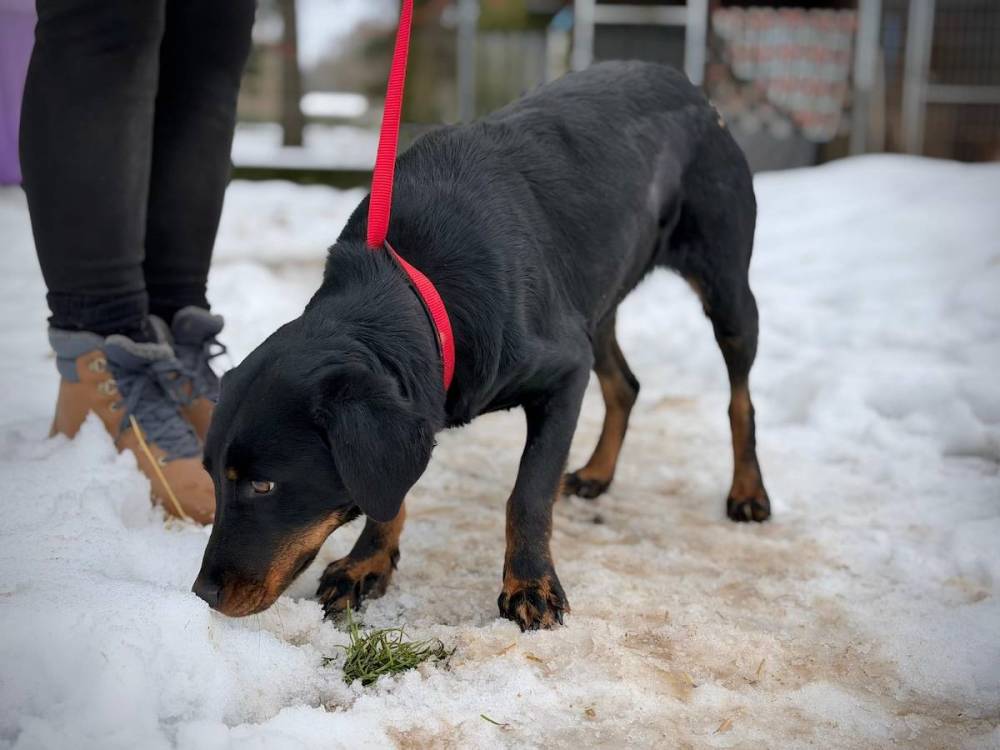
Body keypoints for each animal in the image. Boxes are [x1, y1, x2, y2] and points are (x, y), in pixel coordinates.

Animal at [193, 61, 770, 631]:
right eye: (211, 477)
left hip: (726, 290)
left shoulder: (565, 373)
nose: (201, 594)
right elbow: (389, 495)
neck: (415, 285)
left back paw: (747, 492)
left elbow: (529, 493)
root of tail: (682, 81)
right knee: (626, 385)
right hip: (597, 305)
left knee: (740, 398)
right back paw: (598, 473)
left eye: (264, 486)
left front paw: (530, 584)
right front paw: (367, 562)